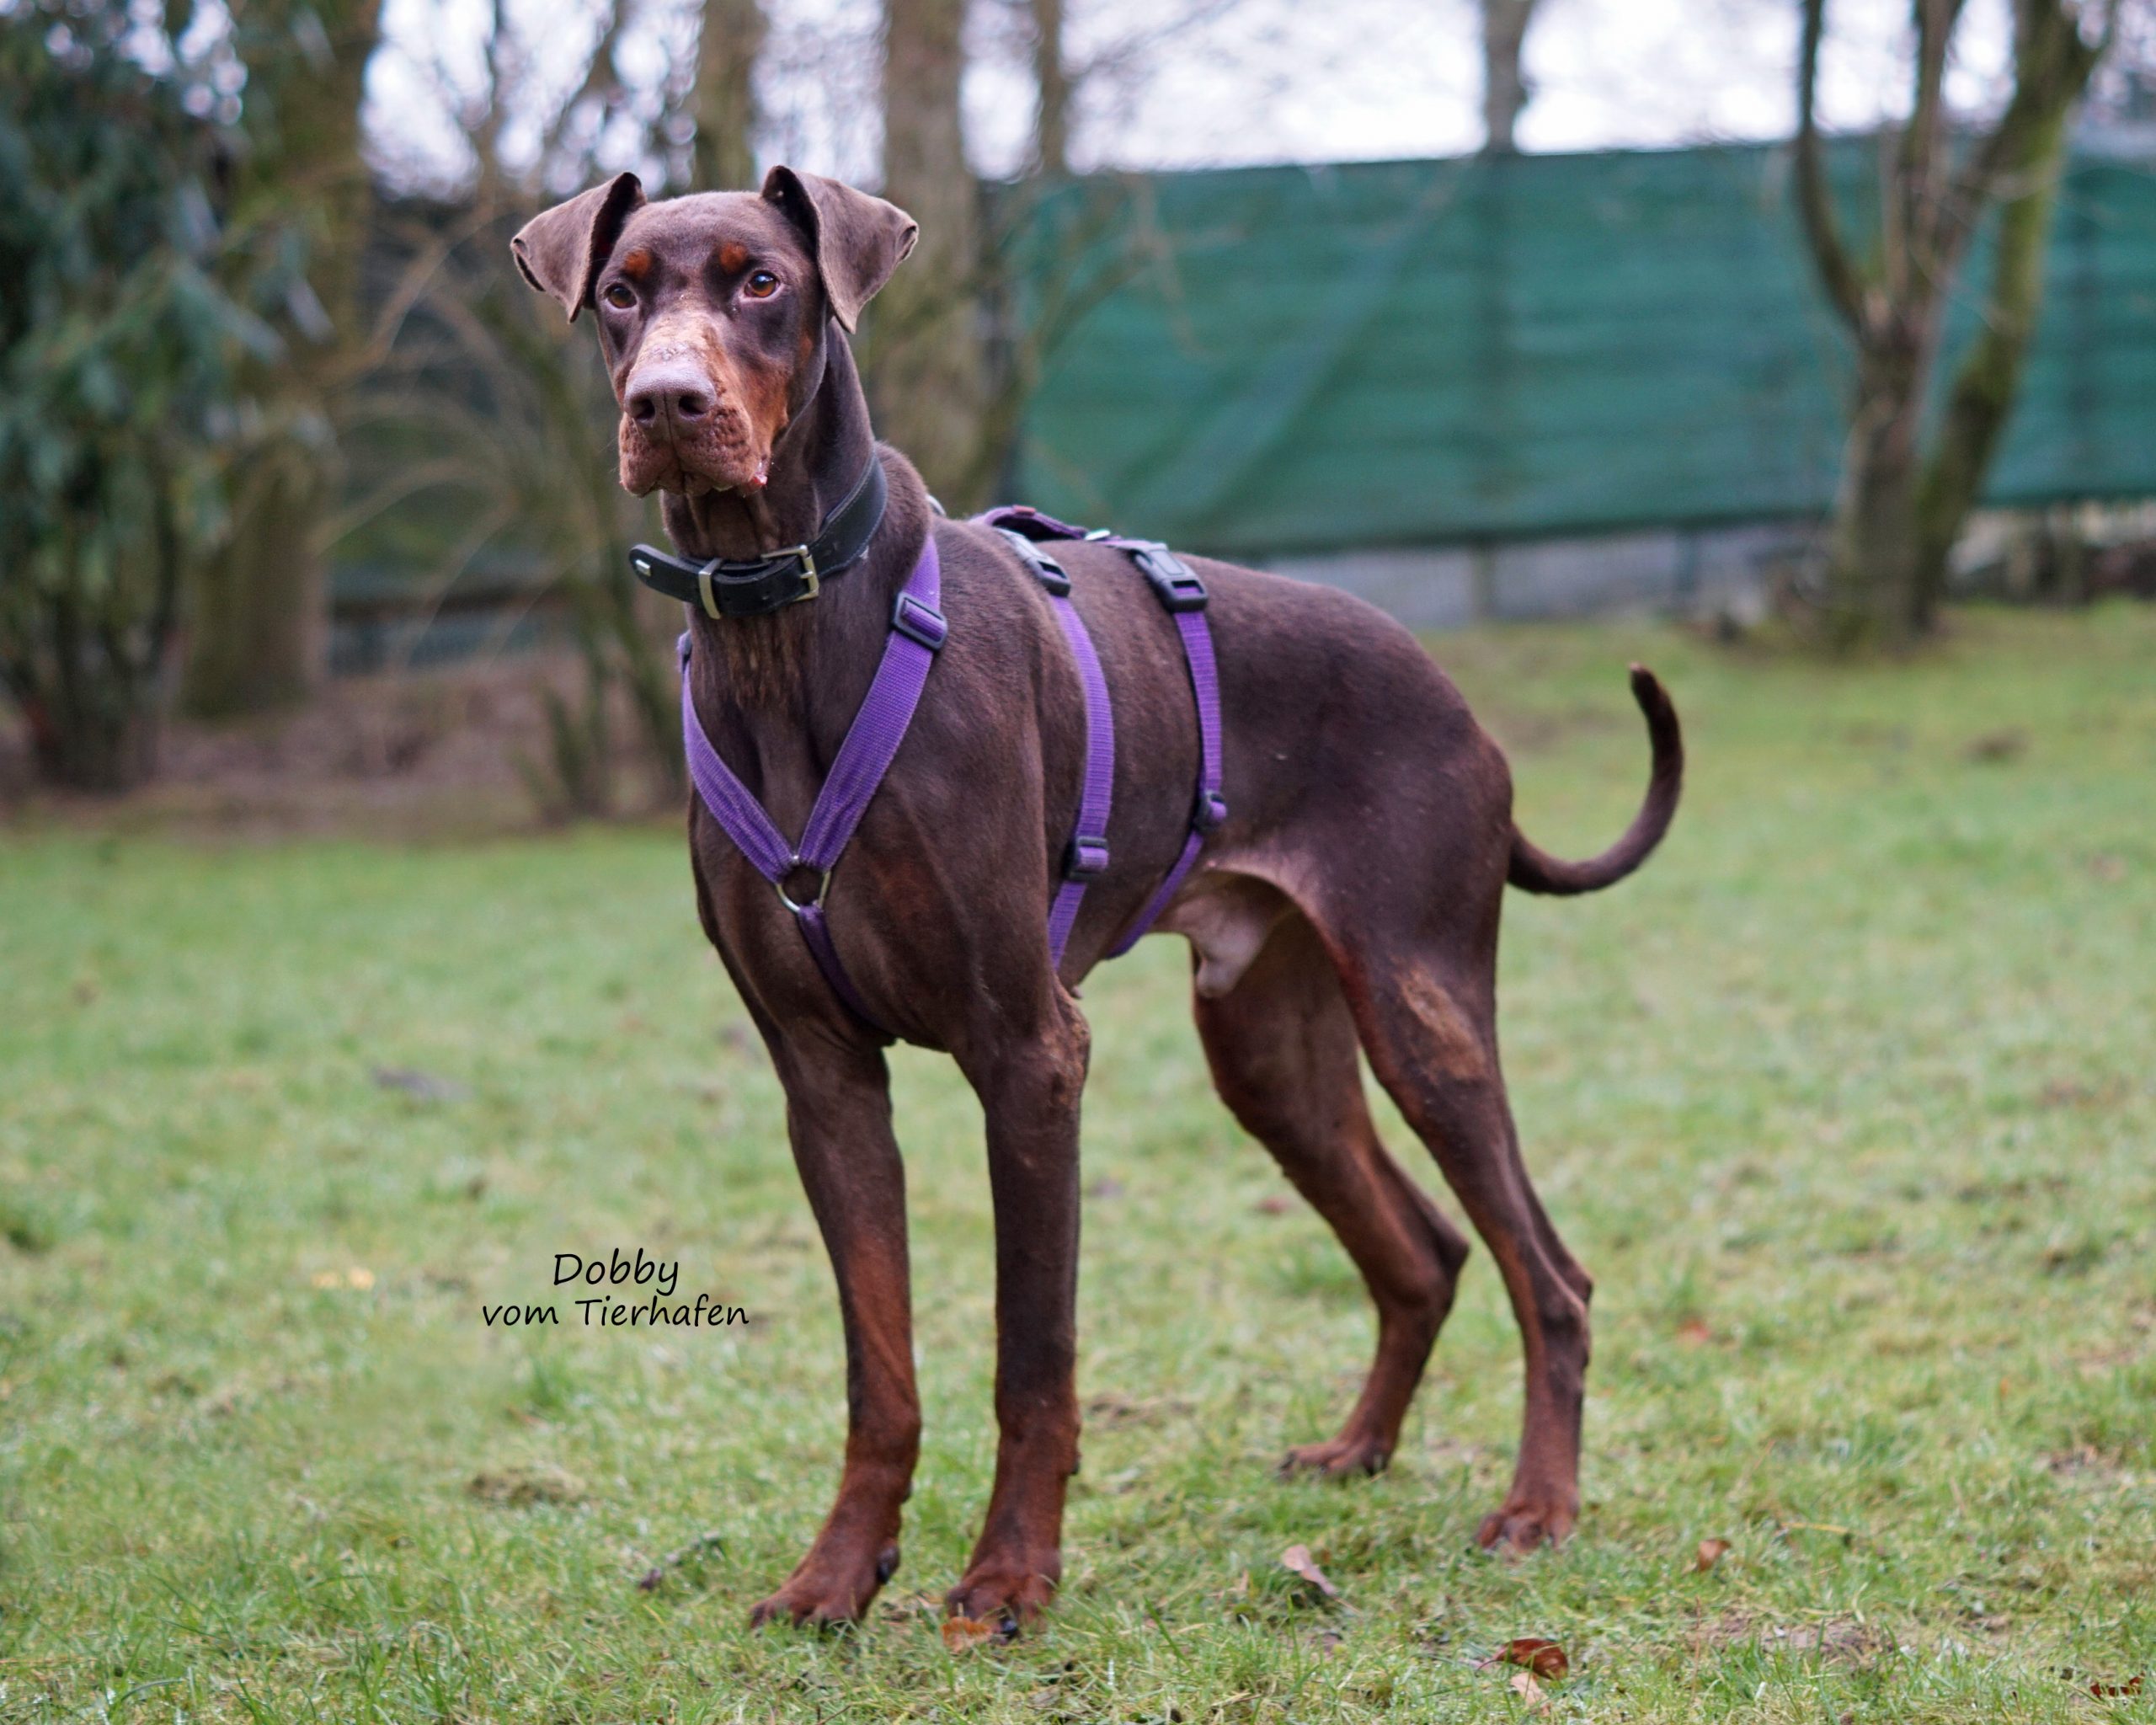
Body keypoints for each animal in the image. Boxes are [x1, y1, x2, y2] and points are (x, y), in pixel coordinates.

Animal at [511, 166, 1682, 1631]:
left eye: (762, 281)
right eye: (620, 294)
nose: (667, 405)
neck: (784, 625)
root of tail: (1461, 704)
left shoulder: (1029, 1053)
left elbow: (1034, 1353)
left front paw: (1010, 1576)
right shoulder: (823, 1078)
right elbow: (877, 1368)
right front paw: (837, 1575)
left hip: (1425, 1012)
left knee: (1549, 1273)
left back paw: (1538, 1508)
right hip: (1268, 1045)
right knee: (1423, 1252)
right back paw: (1357, 1450)